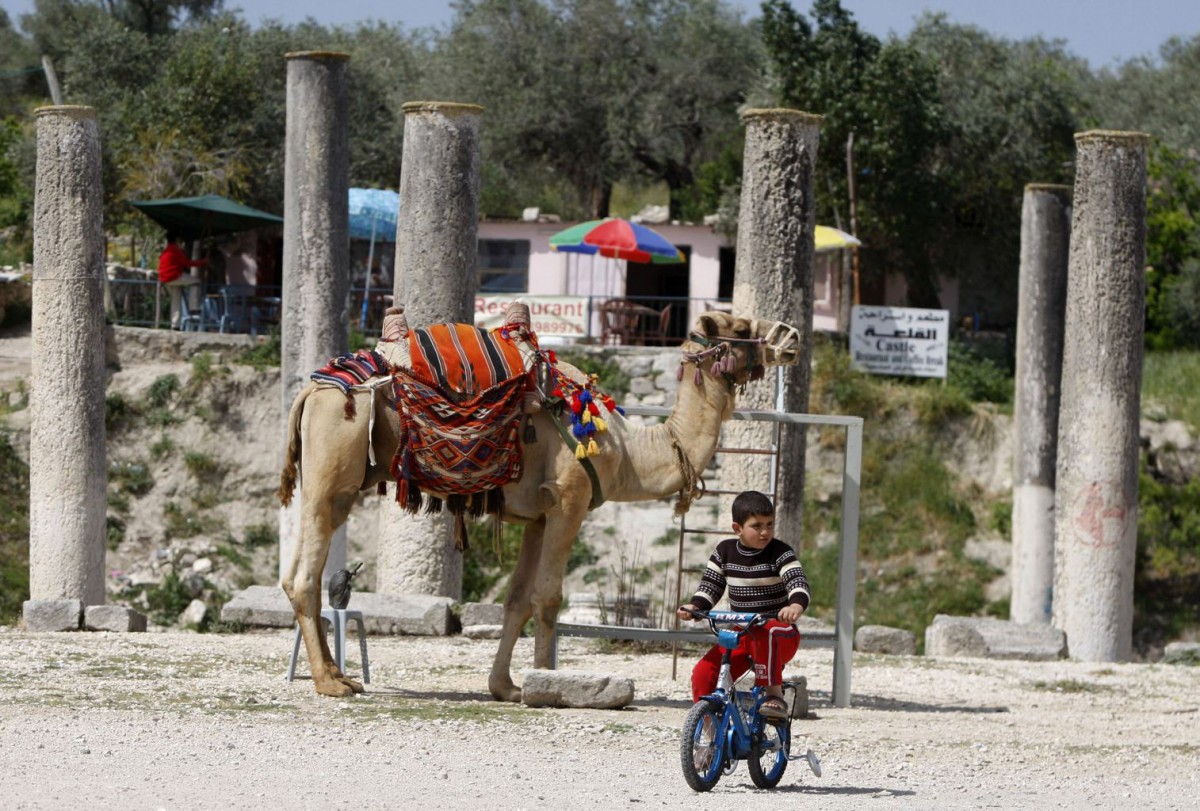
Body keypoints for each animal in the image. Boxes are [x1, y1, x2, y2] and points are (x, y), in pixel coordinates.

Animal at [278, 307, 806, 700]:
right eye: (741, 327)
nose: (793, 336)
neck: (627, 451)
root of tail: (310, 390)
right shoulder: (569, 501)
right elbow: (548, 597)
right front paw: (549, 685)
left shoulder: (537, 516)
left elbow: (516, 599)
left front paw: (507, 687)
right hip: (336, 467)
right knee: (305, 574)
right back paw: (329, 683)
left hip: (325, 480)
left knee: (300, 572)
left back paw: (340, 675)